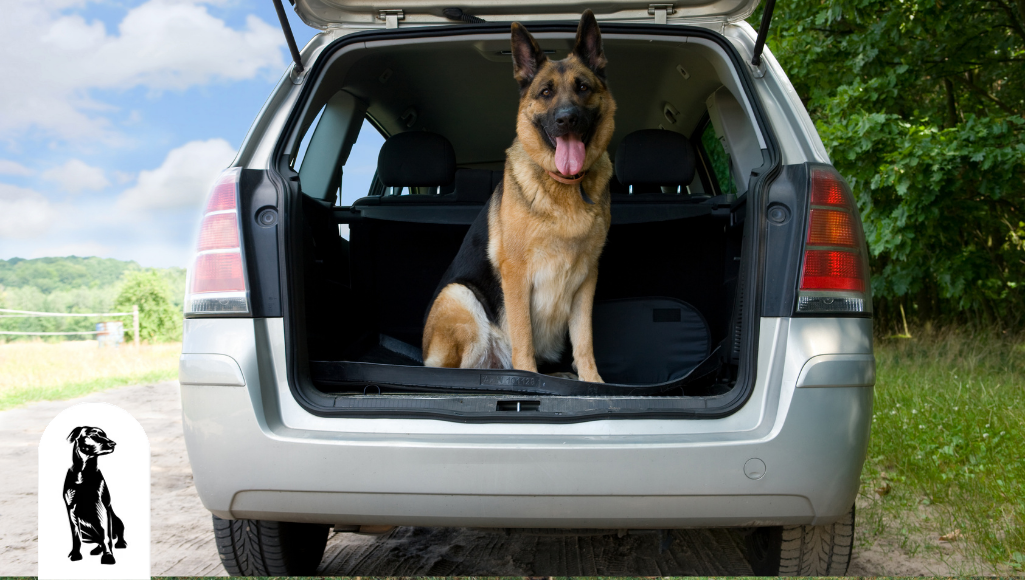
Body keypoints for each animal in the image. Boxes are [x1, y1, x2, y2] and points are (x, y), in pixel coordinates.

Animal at [420, 11, 610, 383]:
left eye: (583, 87)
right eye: (546, 92)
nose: (567, 119)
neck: (564, 185)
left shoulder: (588, 278)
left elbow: (584, 340)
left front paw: (592, 382)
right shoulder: (517, 275)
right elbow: (524, 338)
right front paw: (529, 378)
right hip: (460, 297)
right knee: (456, 371)